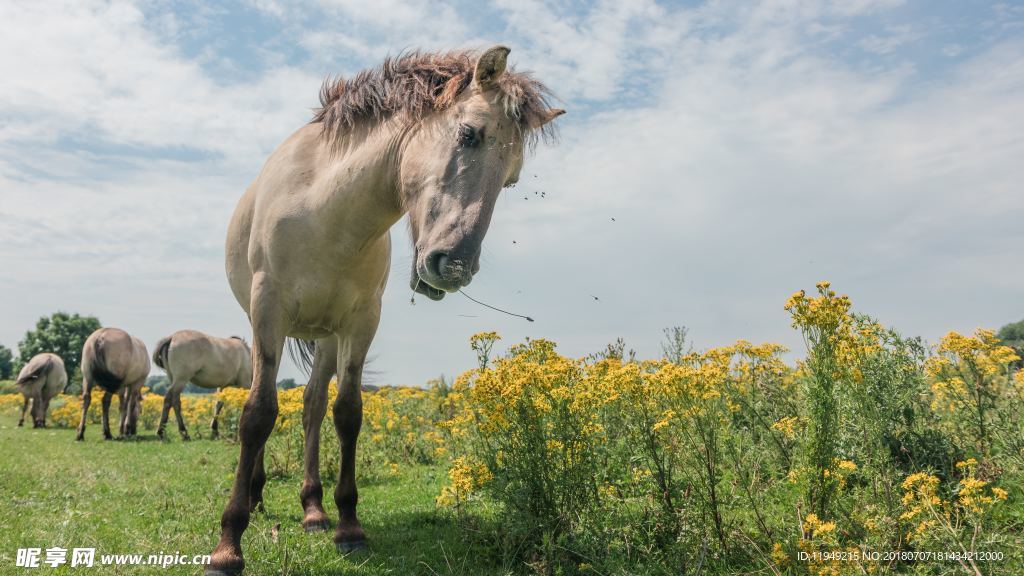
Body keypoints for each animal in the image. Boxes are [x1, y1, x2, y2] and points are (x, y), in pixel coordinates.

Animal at [203, 47, 565, 569]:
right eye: (468, 133)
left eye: (512, 178)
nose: (453, 266)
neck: (323, 210)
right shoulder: (267, 313)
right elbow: (257, 414)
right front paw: (229, 544)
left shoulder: (360, 323)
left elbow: (347, 413)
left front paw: (349, 526)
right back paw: (255, 495)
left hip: (327, 337)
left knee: (312, 407)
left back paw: (313, 510)